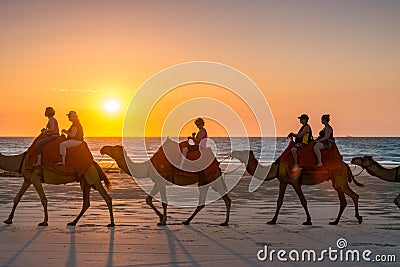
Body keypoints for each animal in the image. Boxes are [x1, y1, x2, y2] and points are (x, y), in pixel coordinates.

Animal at [100, 140, 231, 226]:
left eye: (113, 148)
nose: (102, 148)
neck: (148, 166)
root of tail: (217, 163)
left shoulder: (160, 181)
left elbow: (163, 202)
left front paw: (163, 221)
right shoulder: (157, 182)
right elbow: (148, 199)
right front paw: (161, 217)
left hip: (209, 177)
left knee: (218, 199)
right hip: (208, 180)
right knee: (222, 199)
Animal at [230, 151, 364, 226]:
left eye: (242, 152)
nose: (232, 153)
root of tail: (346, 165)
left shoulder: (295, 182)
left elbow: (303, 201)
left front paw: (308, 220)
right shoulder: (283, 182)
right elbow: (279, 201)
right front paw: (272, 220)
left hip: (339, 180)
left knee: (350, 197)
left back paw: (352, 219)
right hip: (337, 182)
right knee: (347, 199)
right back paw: (338, 221)